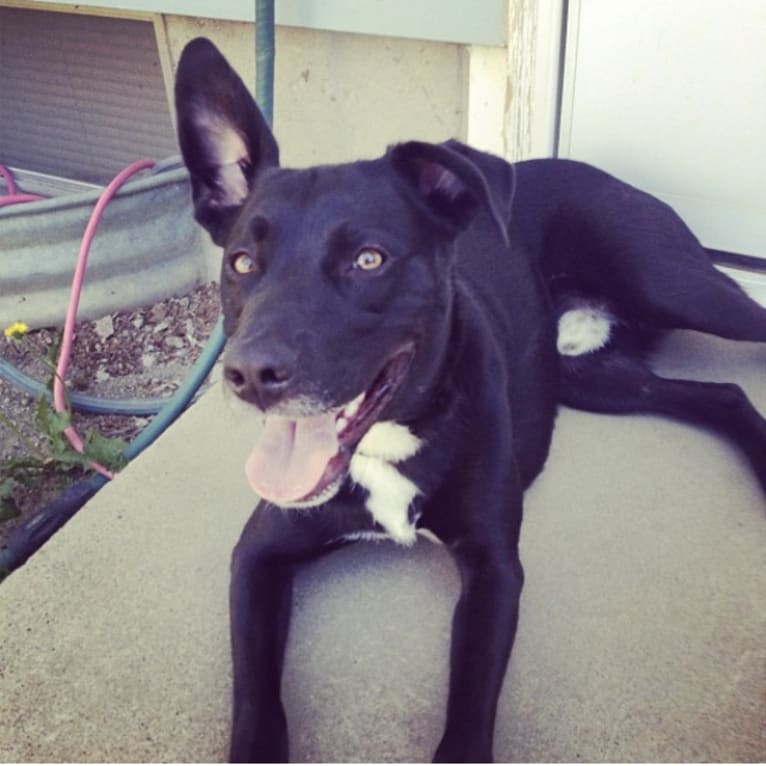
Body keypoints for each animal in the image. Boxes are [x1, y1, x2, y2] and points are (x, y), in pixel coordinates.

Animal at [174, 39, 766, 764]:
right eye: (241, 263)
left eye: (369, 260)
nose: (249, 374)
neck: (392, 437)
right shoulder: (258, 554)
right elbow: (256, 705)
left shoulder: (495, 571)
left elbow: (468, 712)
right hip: (594, 378)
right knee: (722, 395)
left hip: (673, 285)